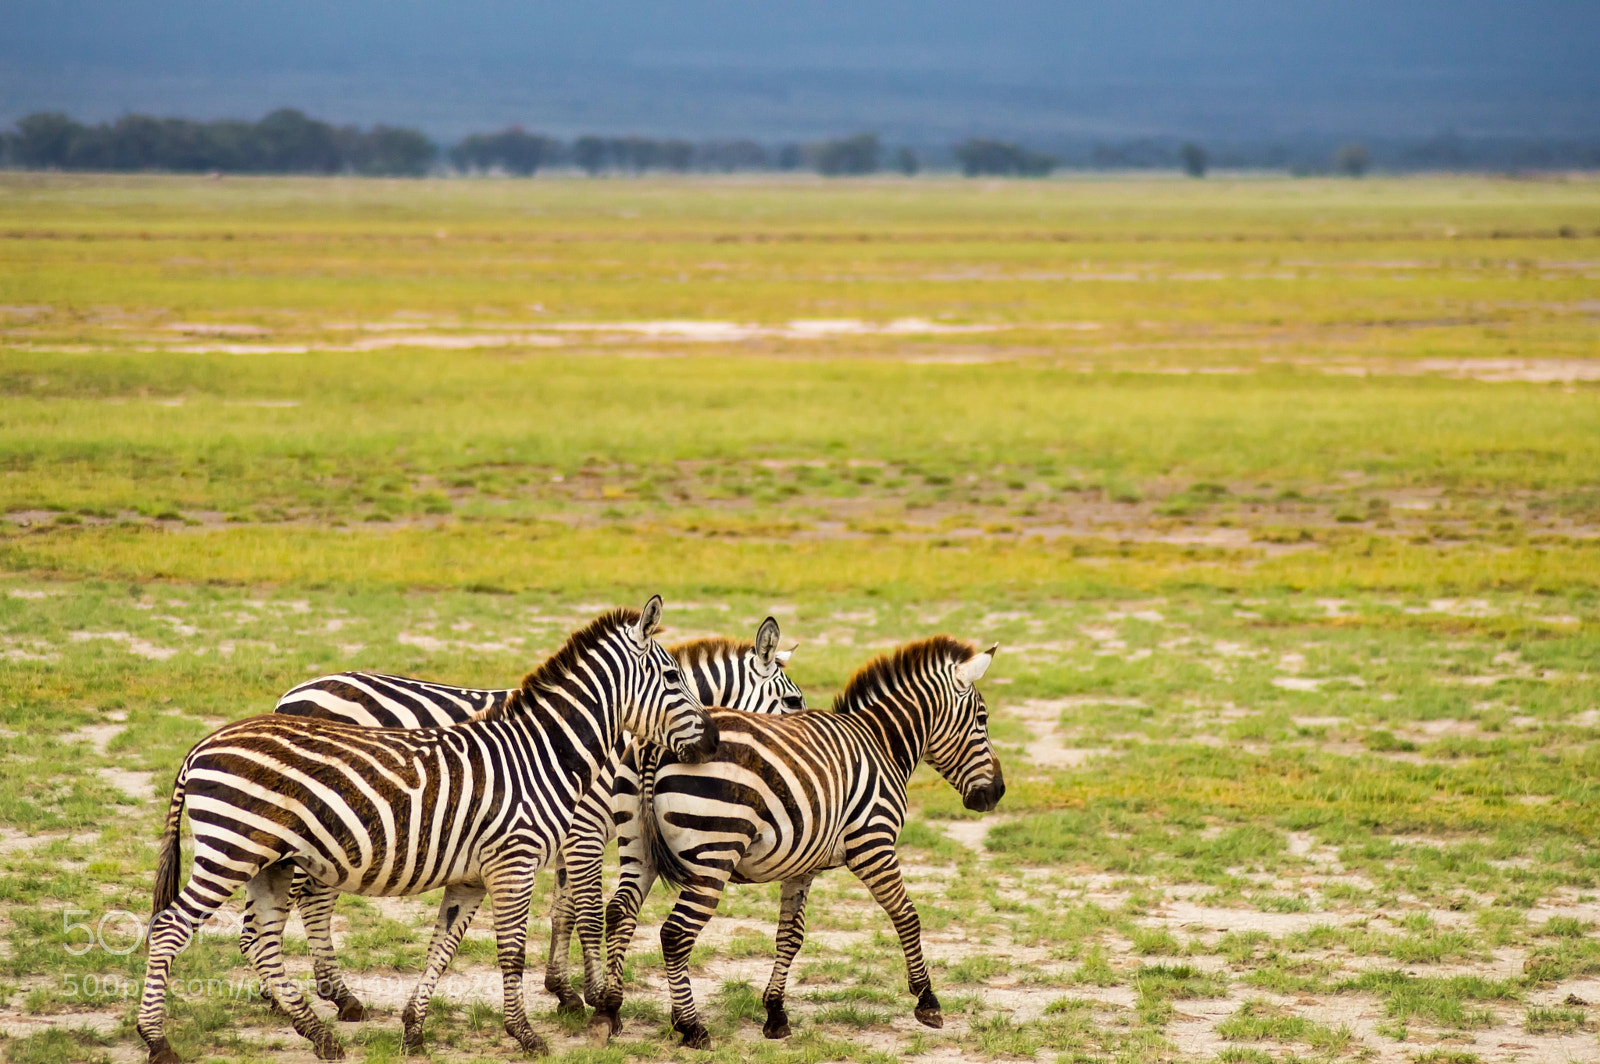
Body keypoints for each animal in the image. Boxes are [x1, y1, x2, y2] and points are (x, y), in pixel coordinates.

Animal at [138, 597, 717, 1064]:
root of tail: (203, 744)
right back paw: (158, 1041)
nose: (712, 741)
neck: (540, 754)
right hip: (231, 850)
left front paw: (414, 1030)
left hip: (271, 861)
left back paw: (318, 1033)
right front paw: (533, 1033)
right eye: (672, 678)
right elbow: (519, 948)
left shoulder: (473, 876)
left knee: (263, 941)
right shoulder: (518, 860)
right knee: (170, 928)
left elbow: (445, 945)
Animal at [265, 616, 806, 1021]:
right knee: (305, 899)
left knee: (308, 898)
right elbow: (588, 910)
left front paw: (564, 990)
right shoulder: (585, 828)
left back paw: (328, 994)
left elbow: (564, 908)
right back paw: (315, 996)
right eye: (794, 702)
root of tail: (294, 693)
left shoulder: (569, 830)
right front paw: (597, 997)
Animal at [591, 635, 1003, 1049]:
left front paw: (775, 1014)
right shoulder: (874, 845)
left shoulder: (801, 864)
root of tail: (656, 744)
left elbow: (790, 935)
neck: (881, 742)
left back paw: (609, 1011)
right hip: (713, 855)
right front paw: (927, 1001)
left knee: (620, 912)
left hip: (637, 847)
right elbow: (907, 916)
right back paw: (691, 1026)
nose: (997, 793)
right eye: (982, 720)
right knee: (676, 934)